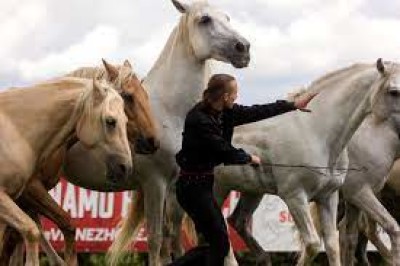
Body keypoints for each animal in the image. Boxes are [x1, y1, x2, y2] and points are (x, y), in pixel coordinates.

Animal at [55, 1, 250, 264]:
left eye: (227, 17)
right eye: (204, 19)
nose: (243, 48)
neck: (170, 112)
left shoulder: (175, 186)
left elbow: (173, 238)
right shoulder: (154, 184)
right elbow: (156, 239)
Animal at [166, 59, 400, 264]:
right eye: (394, 91)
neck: (317, 132)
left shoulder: (329, 197)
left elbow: (333, 245)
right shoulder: (297, 196)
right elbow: (312, 244)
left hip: (252, 192)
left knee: (236, 222)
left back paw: (263, 258)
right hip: (216, 192)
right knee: (217, 235)